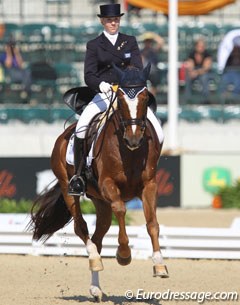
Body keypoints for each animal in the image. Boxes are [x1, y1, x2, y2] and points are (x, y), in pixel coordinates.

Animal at [30, 63, 169, 300]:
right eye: (120, 98)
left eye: (144, 98)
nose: (134, 138)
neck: (129, 151)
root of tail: (65, 134)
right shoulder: (108, 184)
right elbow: (121, 210)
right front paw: (124, 254)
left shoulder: (149, 185)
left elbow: (152, 223)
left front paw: (159, 265)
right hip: (69, 188)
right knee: (81, 227)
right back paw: (94, 260)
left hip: (100, 201)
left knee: (98, 236)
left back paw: (96, 287)